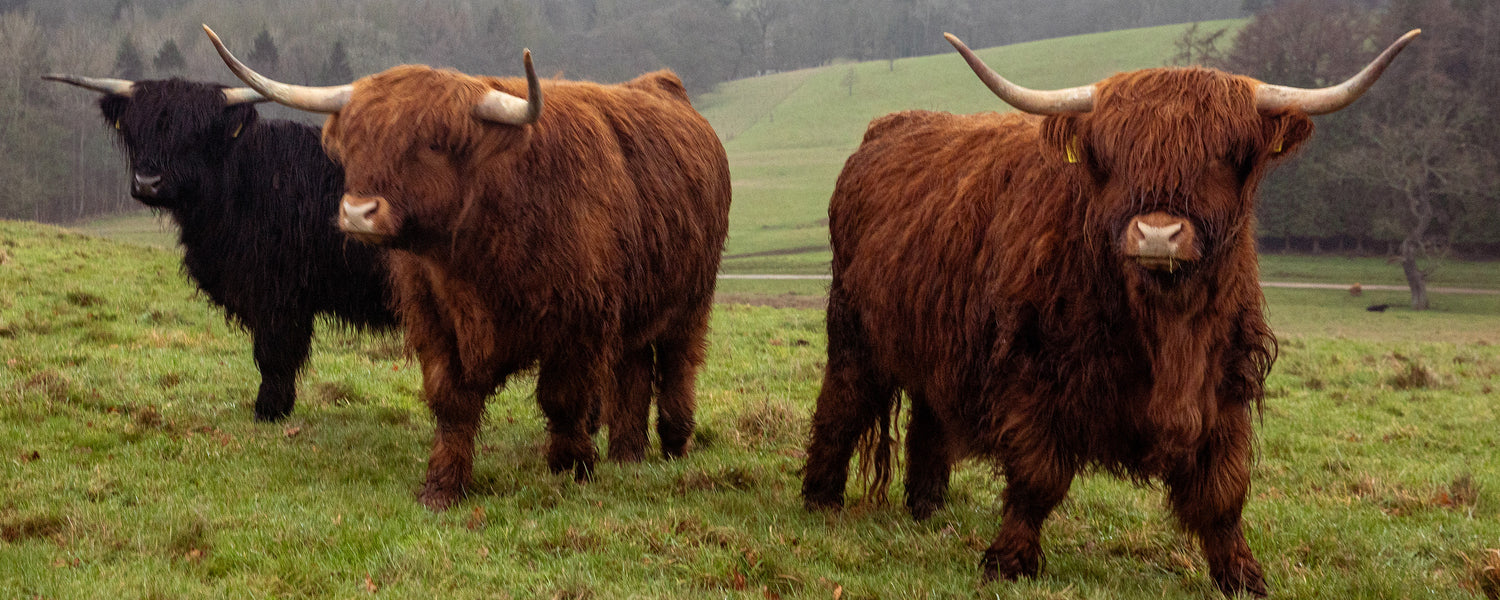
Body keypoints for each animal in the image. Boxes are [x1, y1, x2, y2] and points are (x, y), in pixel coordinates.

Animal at [43, 74, 398, 422]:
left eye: (194, 135)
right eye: (136, 131)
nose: (148, 182)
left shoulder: (277, 293)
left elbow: (274, 354)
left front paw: (268, 411)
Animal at [204, 26, 731, 510]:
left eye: (433, 144)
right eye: (354, 143)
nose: (357, 212)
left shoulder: (579, 322)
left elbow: (562, 398)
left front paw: (570, 468)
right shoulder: (435, 320)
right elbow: (450, 401)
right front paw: (443, 486)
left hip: (692, 299)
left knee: (678, 364)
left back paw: (675, 443)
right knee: (634, 369)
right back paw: (627, 453)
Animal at [799, 30, 1419, 597]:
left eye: (1222, 156)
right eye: (1114, 159)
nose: (1158, 234)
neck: (1164, 318)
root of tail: (890, 126)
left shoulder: (1224, 384)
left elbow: (1223, 490)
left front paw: (1243, 576)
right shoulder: (1036, 373)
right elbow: (1037, 476)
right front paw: (1008, 562)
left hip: (937, 340)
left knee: (931, 414)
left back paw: (928, 507)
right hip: (853, 331)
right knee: (840, 405)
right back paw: (821, 501)